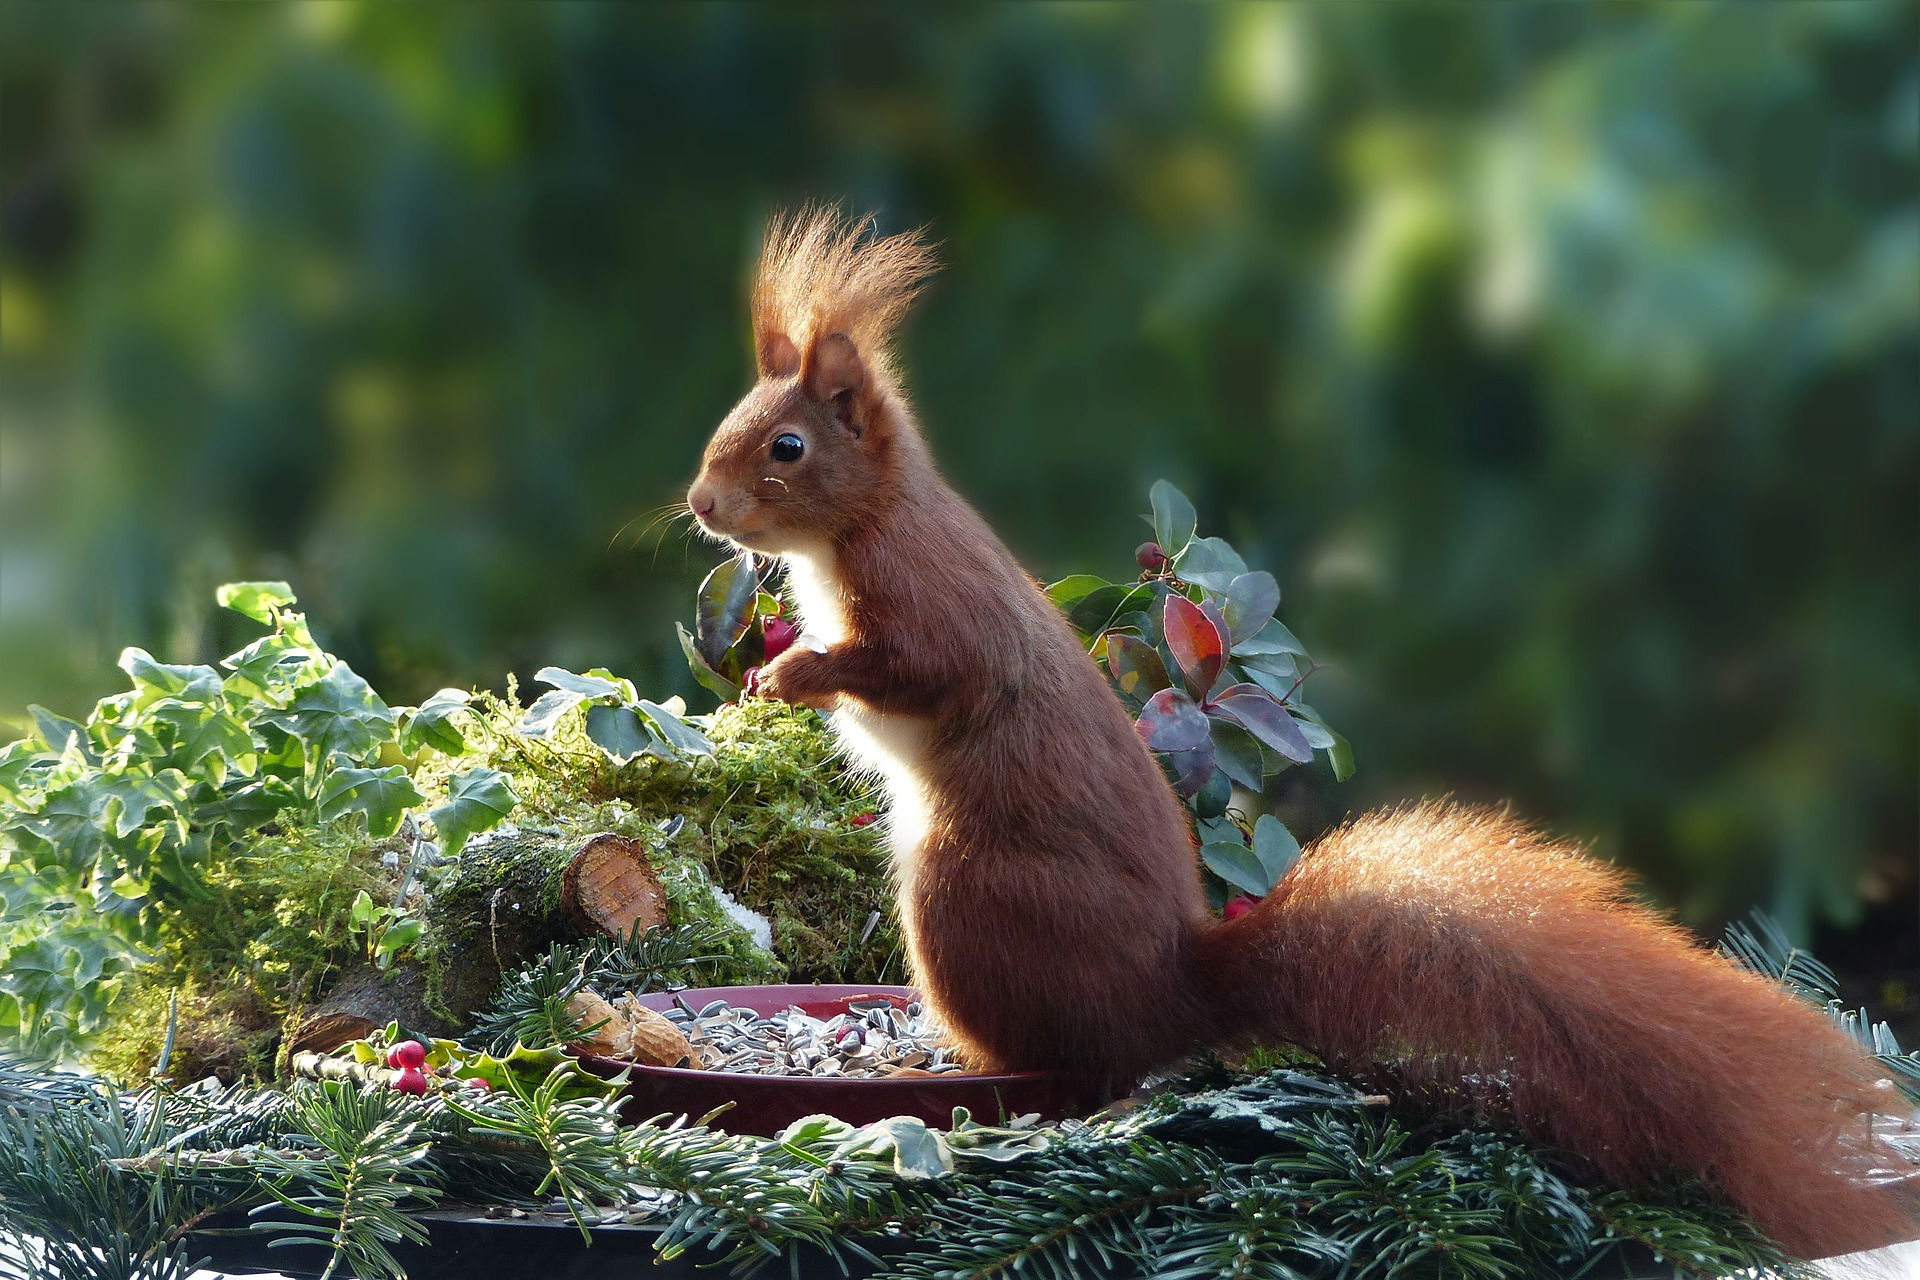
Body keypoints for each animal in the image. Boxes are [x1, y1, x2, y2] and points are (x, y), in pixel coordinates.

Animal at [683, 205, 1912, 1258]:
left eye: (785, 448)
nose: (699, 506)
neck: (865, 526)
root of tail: (1173, 984)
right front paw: (768, 685)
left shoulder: (935, 605)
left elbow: (929, 670)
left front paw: (796, 670)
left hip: (963, 892)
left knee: (1081, 1065)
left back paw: (965, 1060)